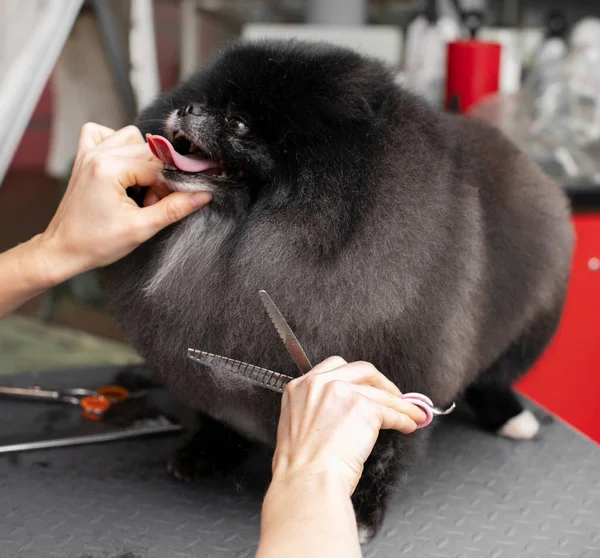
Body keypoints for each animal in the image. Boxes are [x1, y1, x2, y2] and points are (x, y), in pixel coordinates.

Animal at [102, 39, 572, 544]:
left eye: (238, 123)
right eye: (202, 98)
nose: (186, 107)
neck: (233, 243)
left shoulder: (404, 370)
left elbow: (383, 452)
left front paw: (360, 510)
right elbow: (220, 414)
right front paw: (207, 451)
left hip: (533, 322)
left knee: (495, 378)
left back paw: (510, 417)